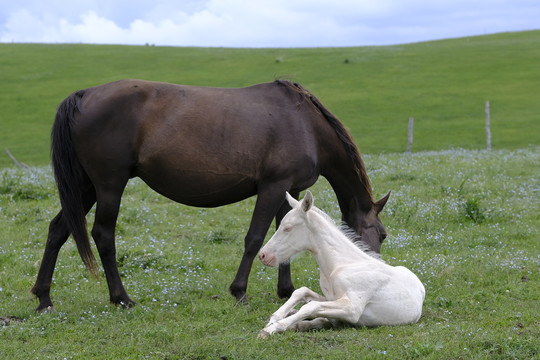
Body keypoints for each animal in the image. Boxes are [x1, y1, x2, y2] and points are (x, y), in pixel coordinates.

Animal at [30, 79, 388, 312]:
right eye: (383, 235)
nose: (377, 276)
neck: (305, 126)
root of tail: (83, 95)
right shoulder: (272, 186)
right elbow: (254, 238)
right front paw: (239, 292)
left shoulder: (292, 190)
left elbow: (281, 238)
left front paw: (285, 290)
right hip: (108, 186)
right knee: (103, 235)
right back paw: (122, 298)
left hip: (85, 187)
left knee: (58, 230)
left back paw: (44, 298)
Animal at [258, 191, 426, 338]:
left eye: (287, 228)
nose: (263, 255)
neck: (339, 265)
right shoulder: (331, 298)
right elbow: (302, 292)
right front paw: (275, 317)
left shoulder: (352, 308)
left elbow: (311, 306)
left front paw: (272, 328)